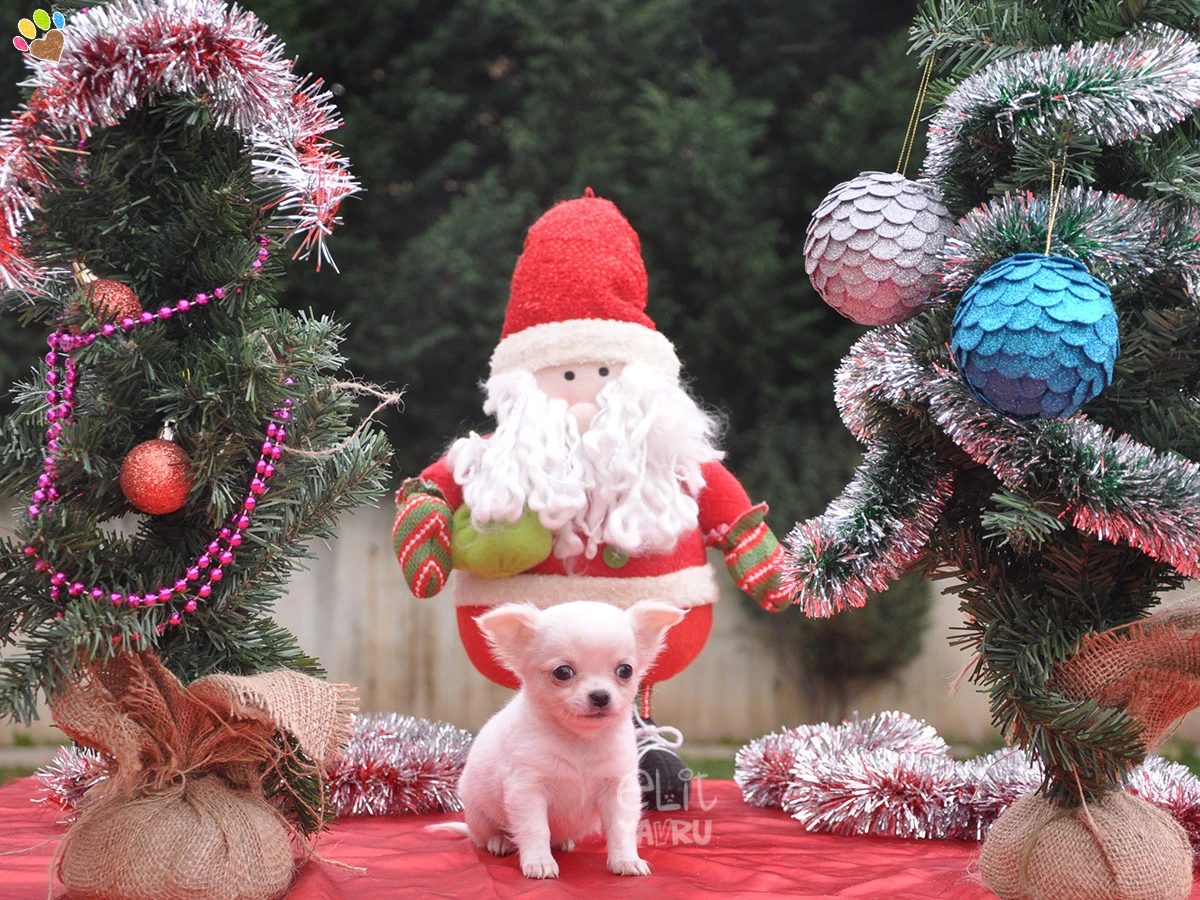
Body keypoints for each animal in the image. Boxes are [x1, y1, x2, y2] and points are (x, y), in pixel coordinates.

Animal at [458, 600, 686, 883]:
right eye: (563, 672)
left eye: (625, 670)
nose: (600, 696)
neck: (580, 741)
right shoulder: (526, 789)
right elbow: (535, 829)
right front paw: (540, 862)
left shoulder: (618, 788)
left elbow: (621, 827)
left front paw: (626, 860)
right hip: (478, 816)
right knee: (484, 835)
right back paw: (500, 841)